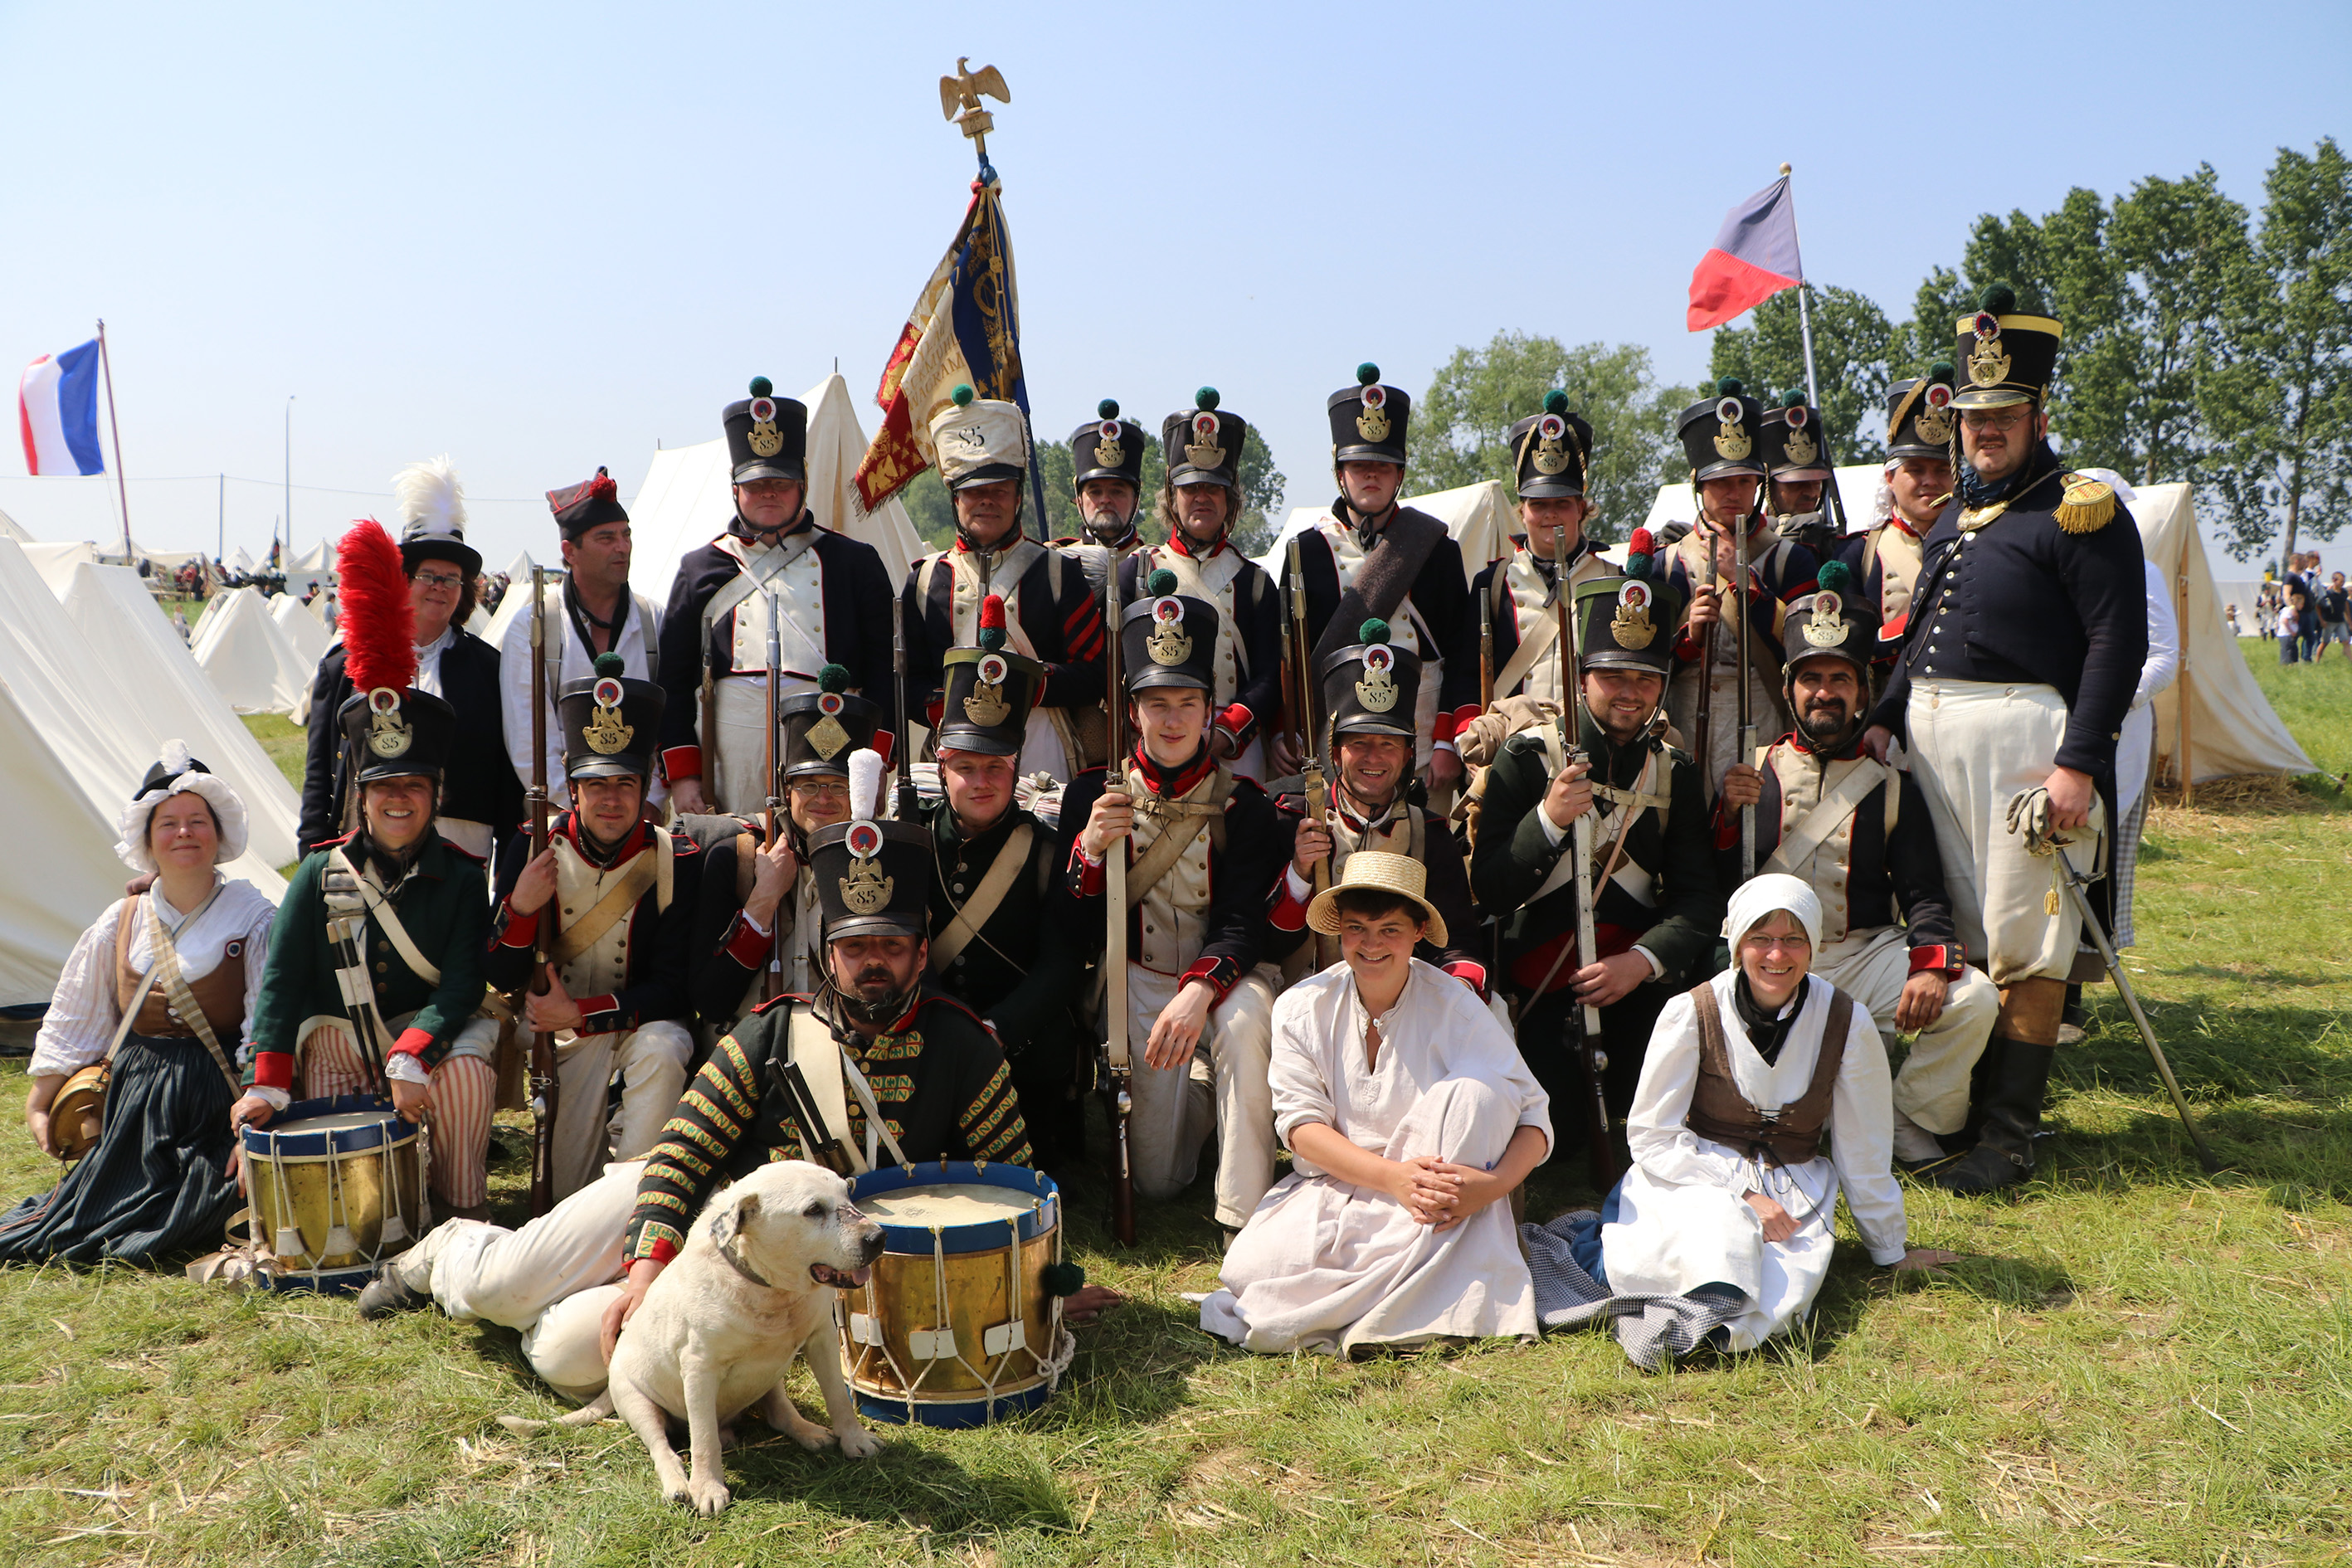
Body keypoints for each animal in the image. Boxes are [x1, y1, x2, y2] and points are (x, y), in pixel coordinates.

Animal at [500, 1161, 884, 1513]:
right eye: (813, 1210)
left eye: (848, 1191)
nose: (878, 1238)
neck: (768, 1290)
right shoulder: (700, 1369)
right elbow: (702, 1437)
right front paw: (708, 1487)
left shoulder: (822, 1338)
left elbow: (838, 1398)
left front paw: (855, 1440)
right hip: (637, 1402)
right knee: (663, 1447)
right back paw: (678, 1483)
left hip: (770, 1379)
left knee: (778, 1411)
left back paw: (807, 1431)